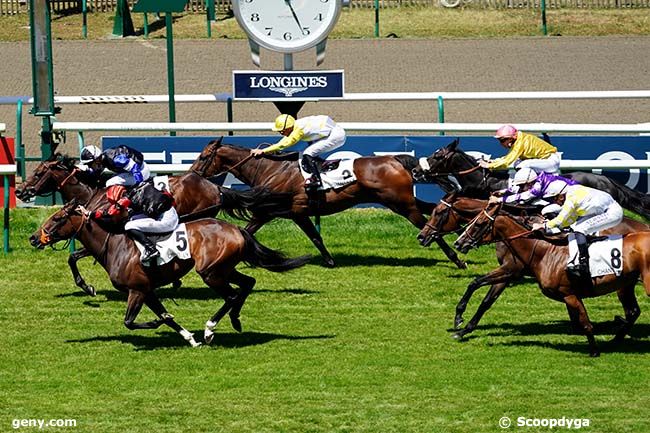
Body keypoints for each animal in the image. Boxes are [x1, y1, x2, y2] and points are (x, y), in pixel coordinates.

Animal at [15, 156, 292, 296]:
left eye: (38, 173)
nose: (20, 190)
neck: (93, 195)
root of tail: (216, 187)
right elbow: (73, 256)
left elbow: (73, 256)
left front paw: (87, 286)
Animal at [31, 194, 310, 346]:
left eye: (57, 219)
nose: (34, 238)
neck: (116, 245)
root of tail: (236, 228)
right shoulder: (147, 290)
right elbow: (166, 316)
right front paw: (188, 338)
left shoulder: (137, 290)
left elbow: (129, 322)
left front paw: (159, 323)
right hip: (223, 269)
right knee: (248, 283)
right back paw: (235, 320)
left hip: (211, 273)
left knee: (231, 294)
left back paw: (210, 329)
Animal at [187, 138, 466, 270]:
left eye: (203, 157)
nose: (191, 175)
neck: (270, 169)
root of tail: (396, 159)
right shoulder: (287, 212)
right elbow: (313, 236)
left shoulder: (281, 211)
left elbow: (251, 230)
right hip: (402, 201)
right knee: (432, 209)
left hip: (402, 205)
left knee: (426, 223)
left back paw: (457, 259)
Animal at [416, 192, 648, 338]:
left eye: (438, 212)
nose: (421, 236)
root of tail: (643, 226)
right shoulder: (510, 272)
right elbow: (484, 296)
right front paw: (463, 323)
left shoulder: (511, 269)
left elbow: (478, 285)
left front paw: (459, 319)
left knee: (631, 310)